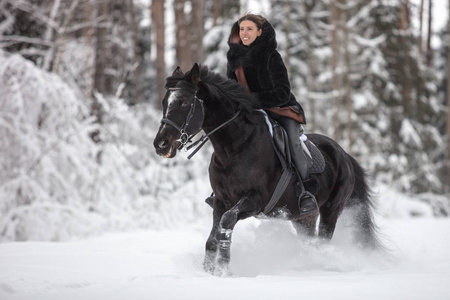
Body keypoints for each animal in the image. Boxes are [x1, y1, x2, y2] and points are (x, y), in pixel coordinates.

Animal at [155, 64, 380, 276]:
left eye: (184, 103)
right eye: (165, 102)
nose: (161, 144)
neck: (234, 147)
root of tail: (344, 155)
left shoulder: (254, 200)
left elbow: (226, 223)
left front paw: (224, 269)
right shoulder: (221, 200)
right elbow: (212, 238)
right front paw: (209, 271)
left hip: (331, 209)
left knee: (323, 239)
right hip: (303, 218)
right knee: (310, 240)